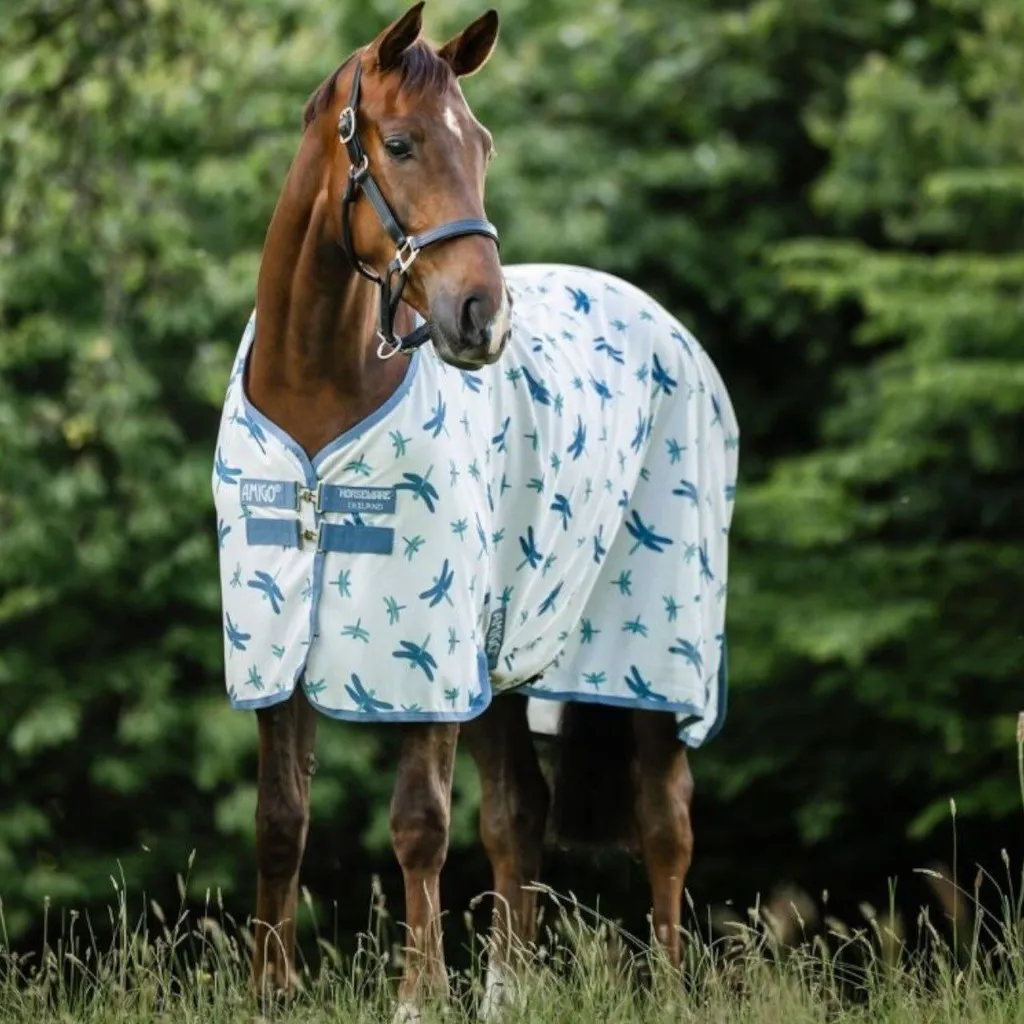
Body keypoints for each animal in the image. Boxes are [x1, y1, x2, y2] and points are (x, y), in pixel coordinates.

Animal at [212, 3, 738, 1018]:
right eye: (401, 143)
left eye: (482, 144)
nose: (481, 319)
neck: (318, 398)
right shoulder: (277, 649)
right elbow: (280, 821)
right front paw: (268, 992)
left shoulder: (430, 660)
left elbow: (419, 825)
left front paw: (417, 996)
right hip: (501, 661)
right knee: (518, 815)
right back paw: (507, 993)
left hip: (651, 670)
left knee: (666, 824)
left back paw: (667, 989)